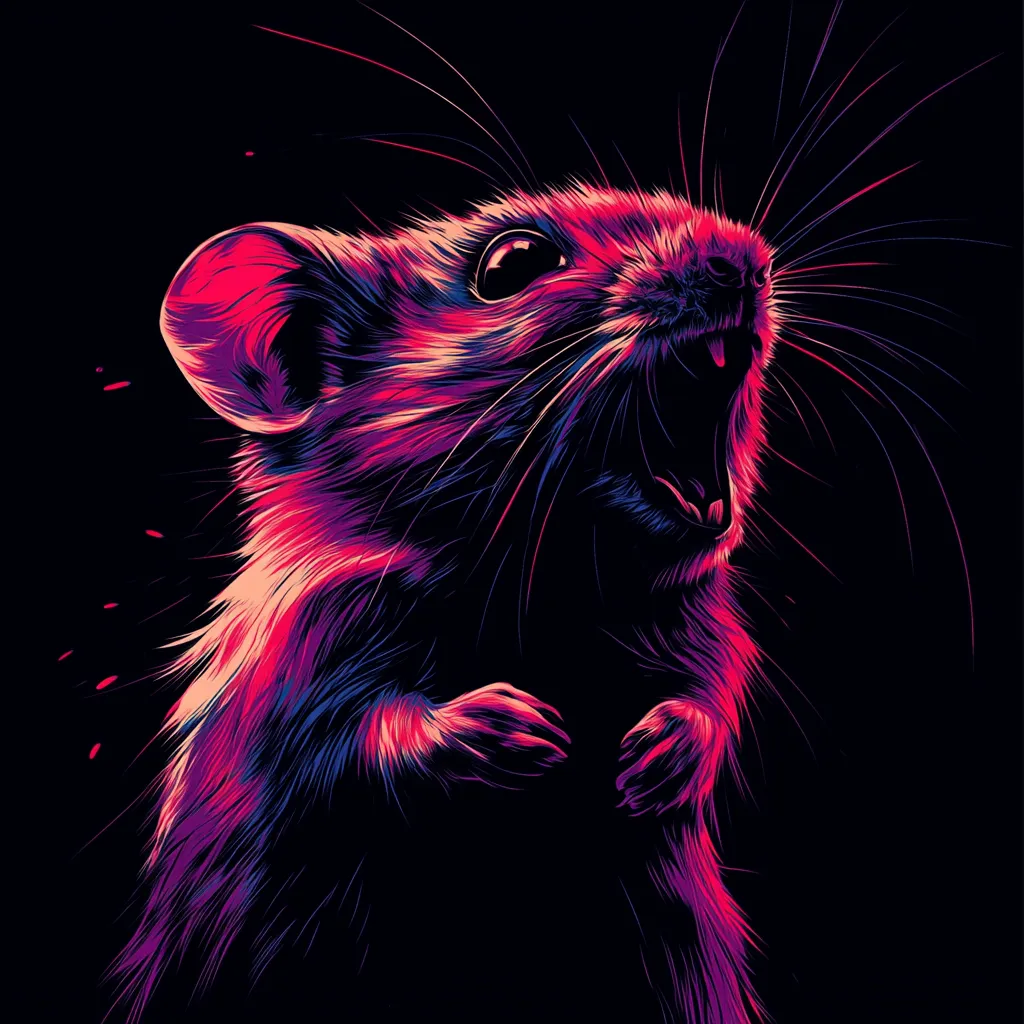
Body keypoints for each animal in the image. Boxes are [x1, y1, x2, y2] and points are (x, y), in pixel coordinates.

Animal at [109, 183, 777, 1023]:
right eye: (513, 263)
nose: (743, 261)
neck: (554, 591)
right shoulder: (305, 663)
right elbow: (356, 743)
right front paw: (515, 731)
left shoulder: (701, 636)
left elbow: (709, 698)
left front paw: (659, 754)